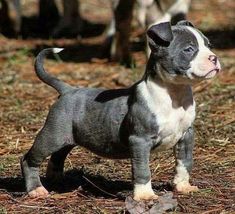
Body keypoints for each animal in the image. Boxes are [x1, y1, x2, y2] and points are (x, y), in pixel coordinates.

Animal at [21, 21, 221, 201]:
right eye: (189, 49)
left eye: (209, 45)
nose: (214, 58)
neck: (174, 95)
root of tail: (68, 90)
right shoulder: (140, 140)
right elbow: (142, 169)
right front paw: (145, 196)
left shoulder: (186, 136)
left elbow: (184, 162)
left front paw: (183, 186)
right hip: (52, 135)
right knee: (29, 159)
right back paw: (36, 190)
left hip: (67, 139)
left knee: (57, 156)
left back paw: (55, 179)